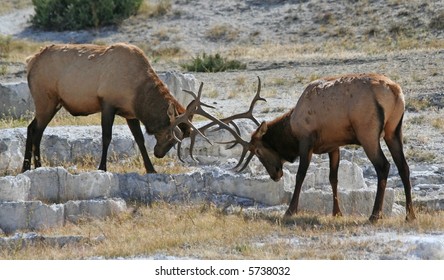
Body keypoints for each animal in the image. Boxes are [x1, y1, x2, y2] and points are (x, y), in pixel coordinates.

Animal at [220, 73, 418, 222]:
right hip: (394, 131)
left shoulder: (306, 141)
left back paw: (375, 215)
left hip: (367, 133)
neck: (291, 128)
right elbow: (333, 178)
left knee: (383, 166)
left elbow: (300, 175)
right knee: (404, 167)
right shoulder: (334, 145)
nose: (275, 175)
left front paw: (290, 211)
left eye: (258, 151)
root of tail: (395, 91)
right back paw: (410, 215)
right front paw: (337, 212)